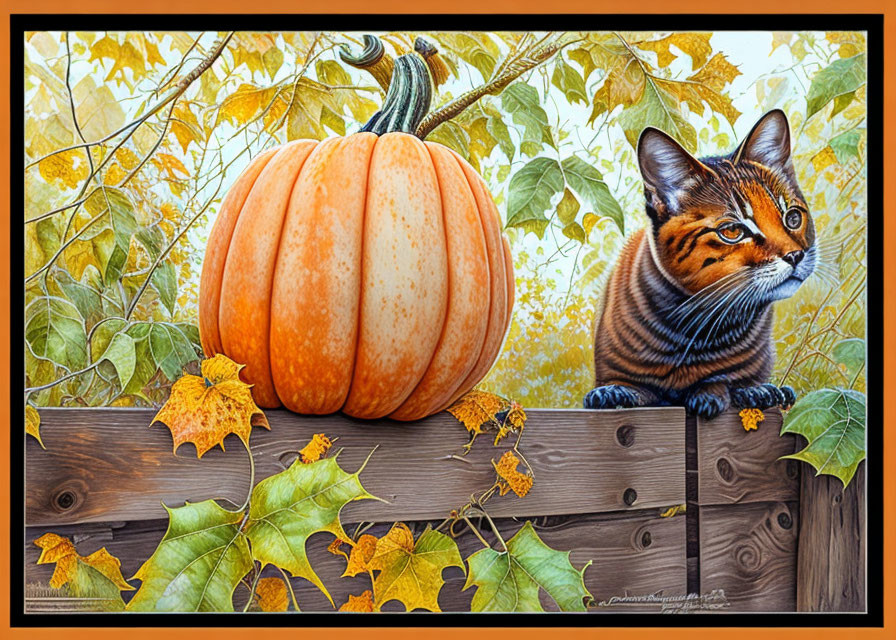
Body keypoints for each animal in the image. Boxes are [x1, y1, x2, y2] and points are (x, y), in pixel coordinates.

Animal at [584, 110, 816, 420]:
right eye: (733, 231)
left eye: (792, 218)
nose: (795, 256)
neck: (698, 328)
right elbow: (635, 387)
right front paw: (613, 393)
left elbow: (725, 379)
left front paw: (728, 391)